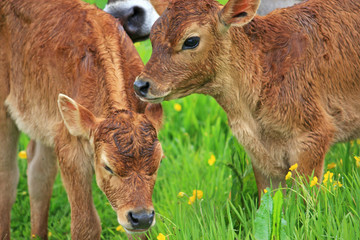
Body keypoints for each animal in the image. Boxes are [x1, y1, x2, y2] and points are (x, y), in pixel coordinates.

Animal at [0, 0, 163, 238]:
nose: (140, 217)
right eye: (107, 167)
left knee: (39, 172)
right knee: (8, 177)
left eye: (158, 162)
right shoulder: (70, 151)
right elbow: (86, 225)